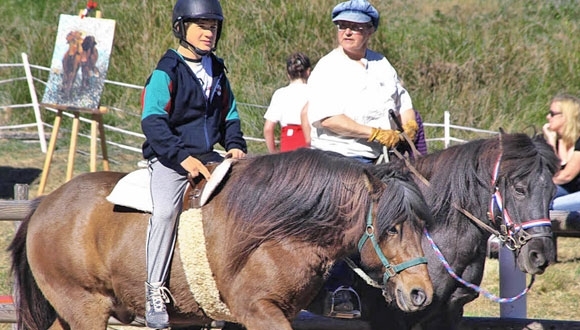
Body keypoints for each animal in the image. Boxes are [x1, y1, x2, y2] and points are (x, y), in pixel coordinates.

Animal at [10, 150, 436, 330]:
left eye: (420, 224)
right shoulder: (259, 310)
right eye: (392, 228)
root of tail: (45, 205)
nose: (421, 293)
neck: (281, 231)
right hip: (86, 308)